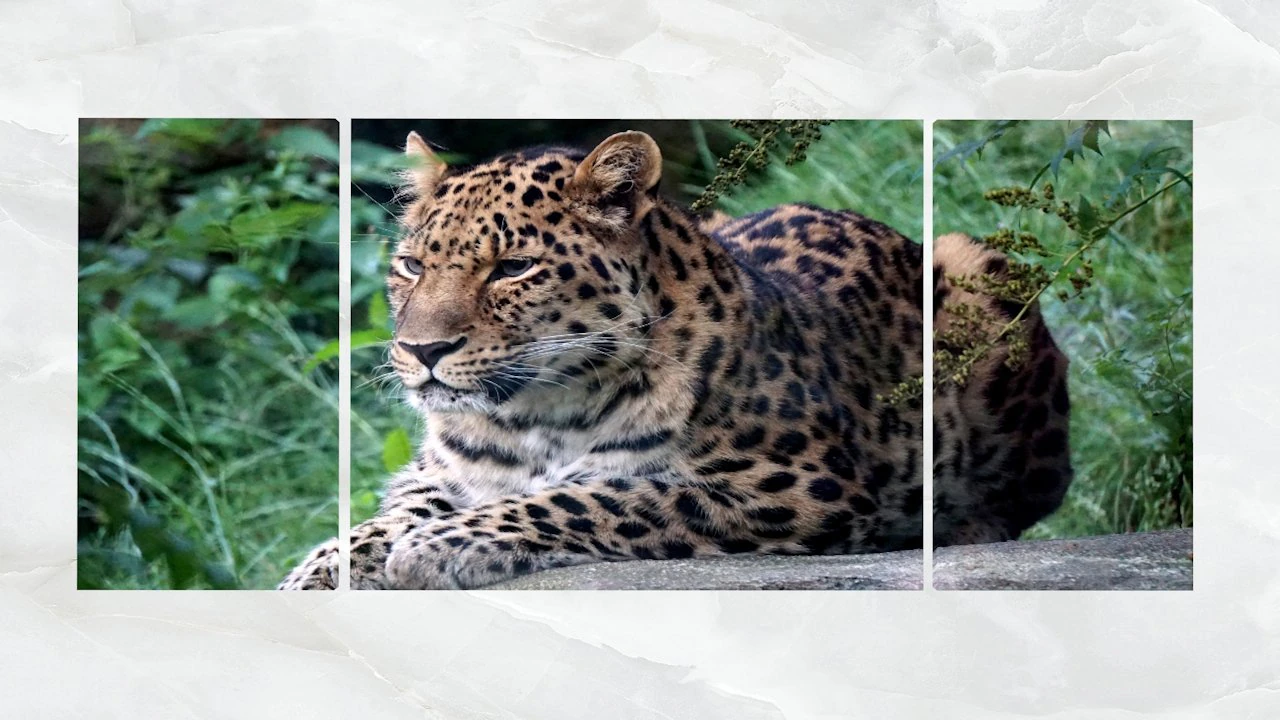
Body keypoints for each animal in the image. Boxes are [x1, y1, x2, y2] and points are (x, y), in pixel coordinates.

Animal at [280, 129, 925, 590]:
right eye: (412, 266)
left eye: (514, 268)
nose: (422, 350)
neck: (534, 415)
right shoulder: (435, 472)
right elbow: (383, 517)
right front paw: (317, 573)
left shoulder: (801, 484)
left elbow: (603, 496)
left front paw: (439, 544)